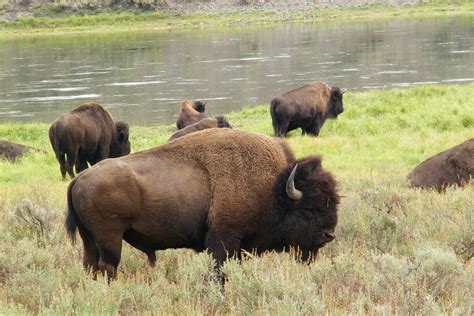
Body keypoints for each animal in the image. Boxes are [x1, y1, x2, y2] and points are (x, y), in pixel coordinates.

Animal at [65, 128, 340, 278]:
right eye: (309, 208)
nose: (328, 235)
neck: (273, 188)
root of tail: (79, 178)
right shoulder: (223, 240)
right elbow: (218, 271)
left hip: (89, 238)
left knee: (90, 265)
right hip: (110, 238)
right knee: (107, 266)